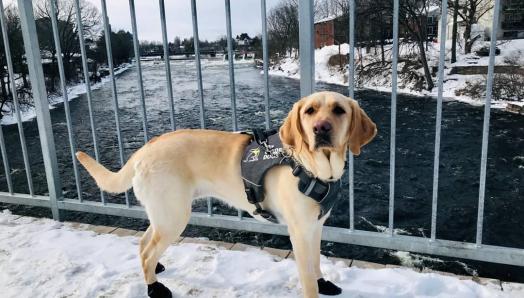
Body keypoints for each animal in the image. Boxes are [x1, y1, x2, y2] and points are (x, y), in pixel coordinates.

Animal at [74, 91, 376, 298]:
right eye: (310, 111)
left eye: (339, 110)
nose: (320, 128)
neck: (313, 169)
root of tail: (144, 149)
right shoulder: (300, 232)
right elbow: (307, 276)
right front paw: (315, 288)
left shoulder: (315, 227)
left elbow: (316, 262)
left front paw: (323, 282)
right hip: (174, 216)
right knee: (147, 251)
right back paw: (154, 288)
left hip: (163, 214)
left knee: (143, 244)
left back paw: (155, 271)